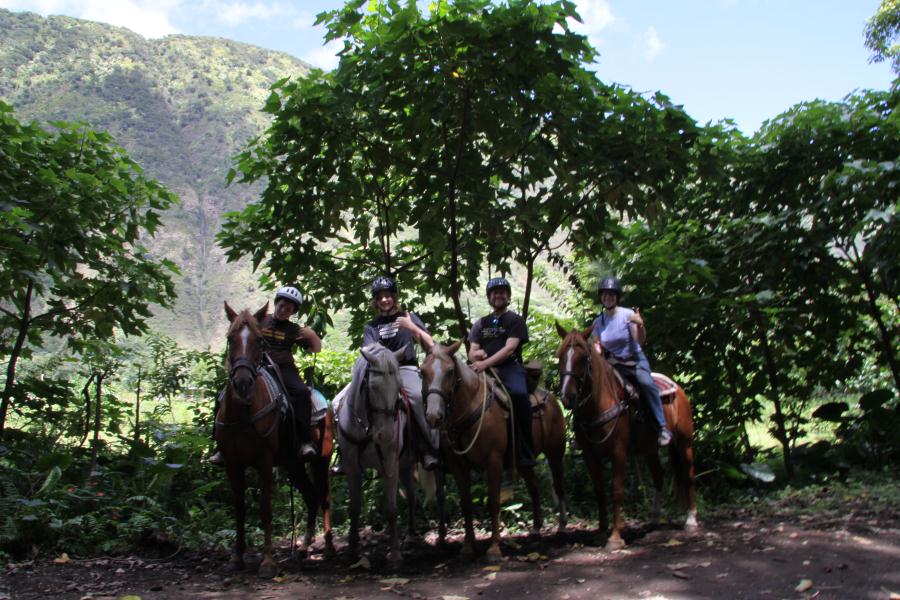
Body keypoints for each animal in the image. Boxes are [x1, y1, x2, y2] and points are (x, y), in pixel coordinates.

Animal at [215, 302, 334, 578]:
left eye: (259, 341)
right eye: (230, 338)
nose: (243, 384)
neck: (244, 414)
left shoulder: (264, 461)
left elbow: (265, 508)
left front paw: (268, 562)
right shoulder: (232, 464)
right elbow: (239, 508)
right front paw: (236, 557)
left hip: (321, 460)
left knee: (324, 497)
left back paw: (328, 545)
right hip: (294, 464)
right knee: (311, 496)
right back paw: (303, 547)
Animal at [336, 343, 425, 566]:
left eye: (398, 386)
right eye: (374, 387)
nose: (386, 435)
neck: (366, 428)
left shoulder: (390, 465)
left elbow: (391, 509)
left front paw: (394, 554)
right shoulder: (352, 468)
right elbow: (354, 508)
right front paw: (351, 551)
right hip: (405, 465)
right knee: (412, 495)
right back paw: (411, 535)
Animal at [421, 341, 568, 561]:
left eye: (449, 371)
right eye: (422, 371)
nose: (433, 415)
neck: (469, 407)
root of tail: (549, 397)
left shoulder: (494, 461)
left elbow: (494, 501)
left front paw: (494, 547)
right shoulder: (458, 465)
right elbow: (466, 504)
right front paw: (467, 546)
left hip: (555, 452)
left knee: (558, 486)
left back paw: (561, 527)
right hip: (523, 462)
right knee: (533, 487)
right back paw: (535, 529)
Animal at [555, 324, 697, 550]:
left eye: (584, 358)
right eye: (560, 355)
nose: (568, 396)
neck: (599, 403)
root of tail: (678, 388)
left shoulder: (619, 451)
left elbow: (616, 490)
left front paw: (615, 537)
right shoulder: (589, 454)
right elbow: (599, 490)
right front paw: (601, 532)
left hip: (684, 441)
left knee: (689, 472)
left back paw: (691, 519)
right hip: (649, 448)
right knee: (658, 475)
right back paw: (654, 519)